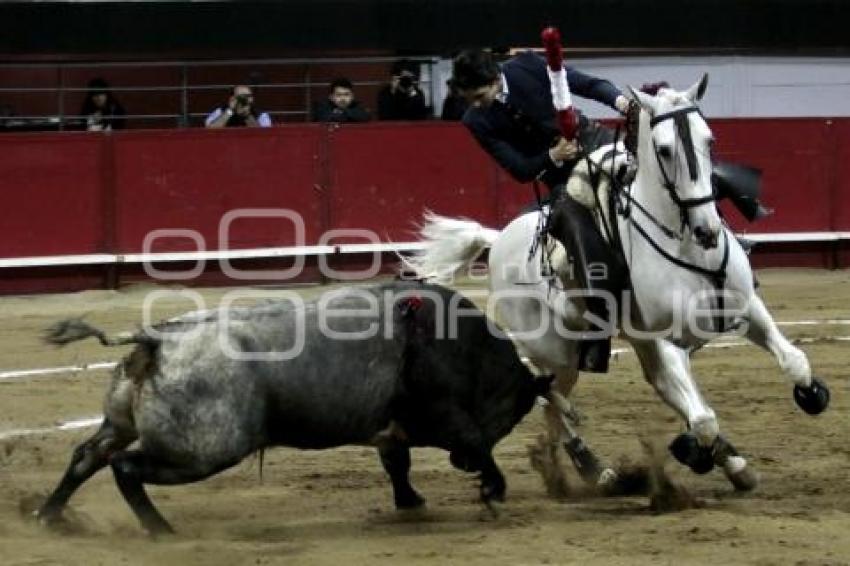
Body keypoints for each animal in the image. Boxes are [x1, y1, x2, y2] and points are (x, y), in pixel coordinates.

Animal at [38, 284, 548, 536]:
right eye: (516, 414)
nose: (460, 467)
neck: (466, 345)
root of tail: (157, 340)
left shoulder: (389, 427)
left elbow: (397, 464)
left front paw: (411, 504)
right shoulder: (447, 415)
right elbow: (479, 446)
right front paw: (493, 492)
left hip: (121, 422)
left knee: (88, 455)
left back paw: (49, 516)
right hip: (206, 451)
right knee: (124, 466)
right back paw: (161, 531)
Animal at [404, 77, 828, 494]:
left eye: (709, 140)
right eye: (663, 149)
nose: (707, 229)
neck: (688, 246)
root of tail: (498, 238)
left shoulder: (748, 309)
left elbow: (795, 363)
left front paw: (810, 396)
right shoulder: (667, 339)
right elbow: (704, 419)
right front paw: (693, 450)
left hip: (625, 344)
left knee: (651, 389)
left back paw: (730, 465)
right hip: (557, 353)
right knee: (551, 400)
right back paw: (595, 470)